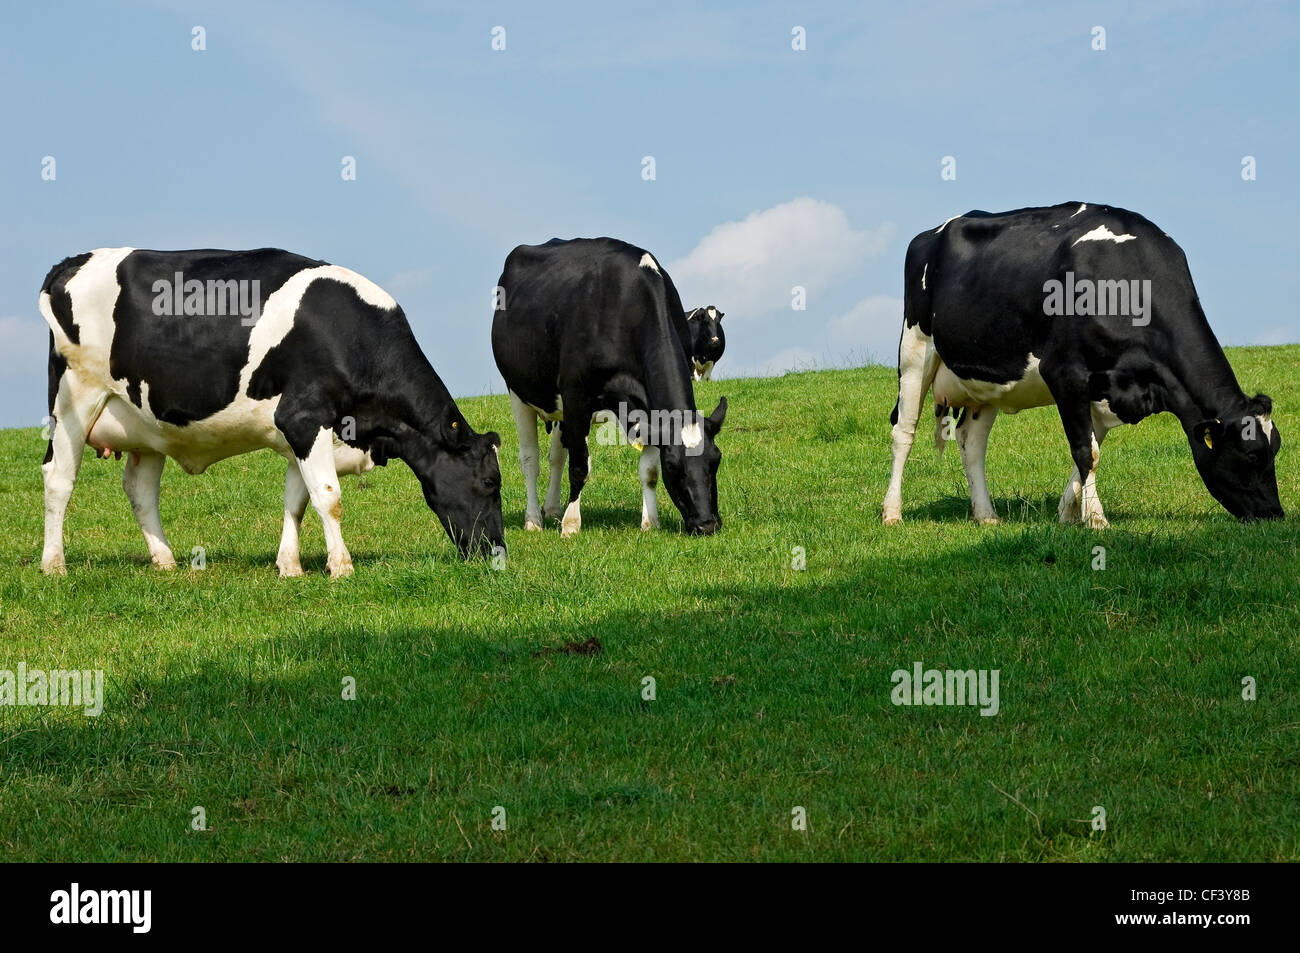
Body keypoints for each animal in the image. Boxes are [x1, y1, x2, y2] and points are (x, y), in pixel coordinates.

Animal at [38, 247, 506, 577]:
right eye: (489, 481)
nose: (498, 553)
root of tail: (71, 262)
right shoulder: (304, 418)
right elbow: (329, 497)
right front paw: (341, 566)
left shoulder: (301, 433)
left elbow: (298, 500)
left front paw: (290, 566)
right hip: (73, 399)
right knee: (59, 478)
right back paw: (54, 565)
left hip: (147, 425)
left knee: (140, 489)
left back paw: (165, 560)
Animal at [491, 238, 727, 537]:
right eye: (673, 465)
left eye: (716, 459)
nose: (707, 524)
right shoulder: (576, 396)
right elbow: (580, 466)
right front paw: (571, 525)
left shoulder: (649, 408)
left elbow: (649, 471)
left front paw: (650, 522)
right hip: (519, 393)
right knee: (530, 460)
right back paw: (534, 519)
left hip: (560, 410)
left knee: (556, 456)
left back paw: (552, 508)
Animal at [882, 203, 1283, 528]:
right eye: (1251, 455)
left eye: (1276, 449)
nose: (1276, 515)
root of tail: (933, 231)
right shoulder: (1065, 374)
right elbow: (1085, 451)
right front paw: (1096, 519)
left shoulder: (1106, 390)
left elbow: (1089, 449)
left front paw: (1068, 512)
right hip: (915, 351)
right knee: (904, 431)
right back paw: (892, 512)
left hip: (986, 380)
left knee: (971, 441)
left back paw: (986, 515)